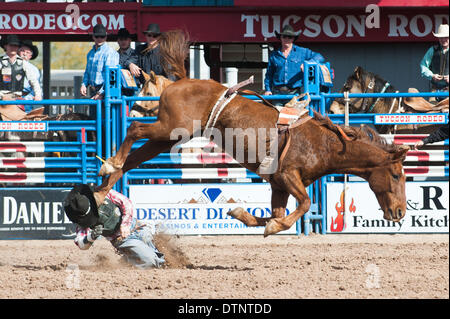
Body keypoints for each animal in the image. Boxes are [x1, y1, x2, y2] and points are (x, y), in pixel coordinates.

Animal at [96, 32, 412, 238]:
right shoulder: (287, 176)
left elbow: (277, 214)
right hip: (171, 128)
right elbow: (302, 206)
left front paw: (241, 215)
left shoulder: (278, 185)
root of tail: (182, 80)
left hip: (168, 137)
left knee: (134, 159)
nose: (400, 213)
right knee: (134, 130)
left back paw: (101, 190)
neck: (324, 144)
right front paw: (271, 227)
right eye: (397, 175)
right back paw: (109, 164)